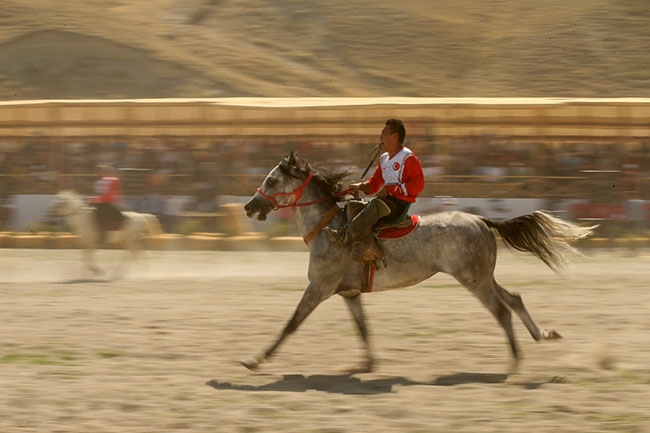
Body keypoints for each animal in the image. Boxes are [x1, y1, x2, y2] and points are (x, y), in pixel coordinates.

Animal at [240, 152, 596, 372]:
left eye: (272, 180)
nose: (248, 206)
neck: (331, 229)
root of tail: (481, 220)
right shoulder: (349, 294)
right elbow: (363, 329)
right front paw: (367, 364)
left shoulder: (318, 288)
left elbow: (291, 324)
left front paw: (257, 359)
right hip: (483, 276)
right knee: (515, 299)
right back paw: (542, 335)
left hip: (473, 280)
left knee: (501, 310)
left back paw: (515, 360)